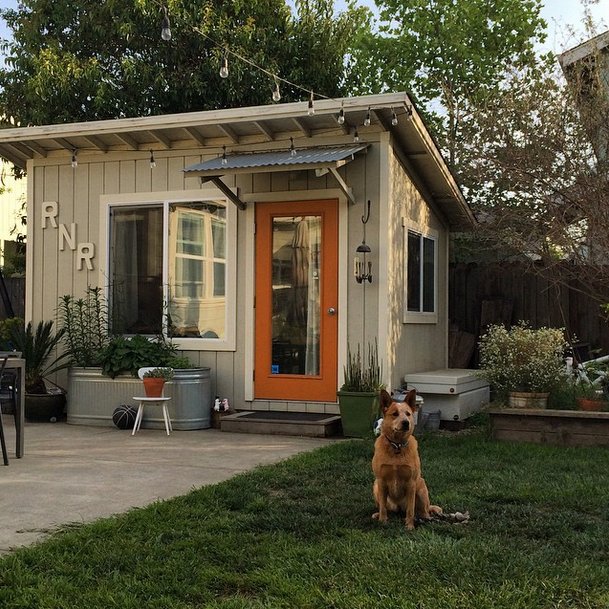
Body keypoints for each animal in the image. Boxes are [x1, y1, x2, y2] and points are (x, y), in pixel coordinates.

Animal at [370, 390, 442, 528]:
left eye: (408, 414)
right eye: (395, 414)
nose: (406, 422)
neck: (397, 447)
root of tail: (398, 508)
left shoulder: (411, 483)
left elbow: (410, 509)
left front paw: (409, 526)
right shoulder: (381, 481)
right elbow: (383, 507)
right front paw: (382, 521)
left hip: (421, 488)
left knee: (423, 512)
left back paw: (424, 518)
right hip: (375, 486)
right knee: (385, 508)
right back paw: (377, 515)